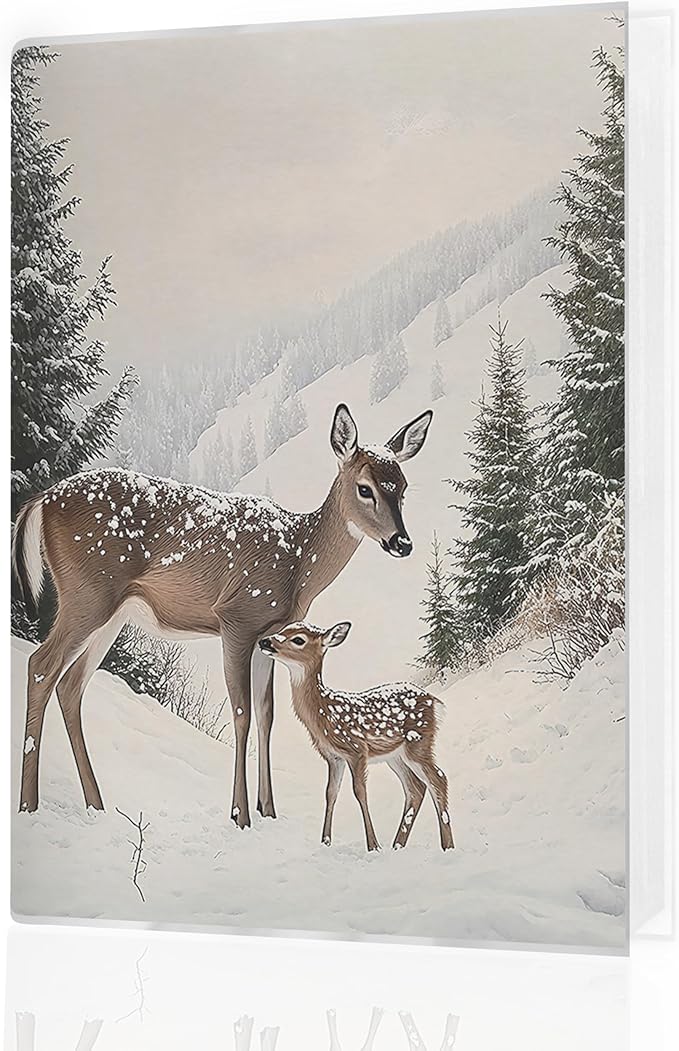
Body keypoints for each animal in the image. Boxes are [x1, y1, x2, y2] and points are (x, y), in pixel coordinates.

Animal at [12, 403, 433, 827]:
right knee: (41, 666)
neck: (299, 561)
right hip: (87, 593)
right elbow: (242, 712)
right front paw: (240, 813)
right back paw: (28, 803)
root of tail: (42, 500)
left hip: (110, 613)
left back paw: (96, 803)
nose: (402, 543)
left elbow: (266, 714)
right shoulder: (237, 617)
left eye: (403, 488)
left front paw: (269, 810)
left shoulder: (270, 636)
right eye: (365, 488)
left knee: (70, 685)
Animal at [258, 620, 454, 852]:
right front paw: (325, 841)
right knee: (416, 787)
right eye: (283, 630)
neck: (325, 713)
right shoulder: (333, 757)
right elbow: (330, 793)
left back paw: (447, 846)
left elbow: (359, 791)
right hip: (395, 756)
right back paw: (397, 845)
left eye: (298, 639)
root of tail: (434, 701)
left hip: (418, 743)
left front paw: (373, 845)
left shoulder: (357, 750)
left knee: (438, 779)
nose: (264, 641)